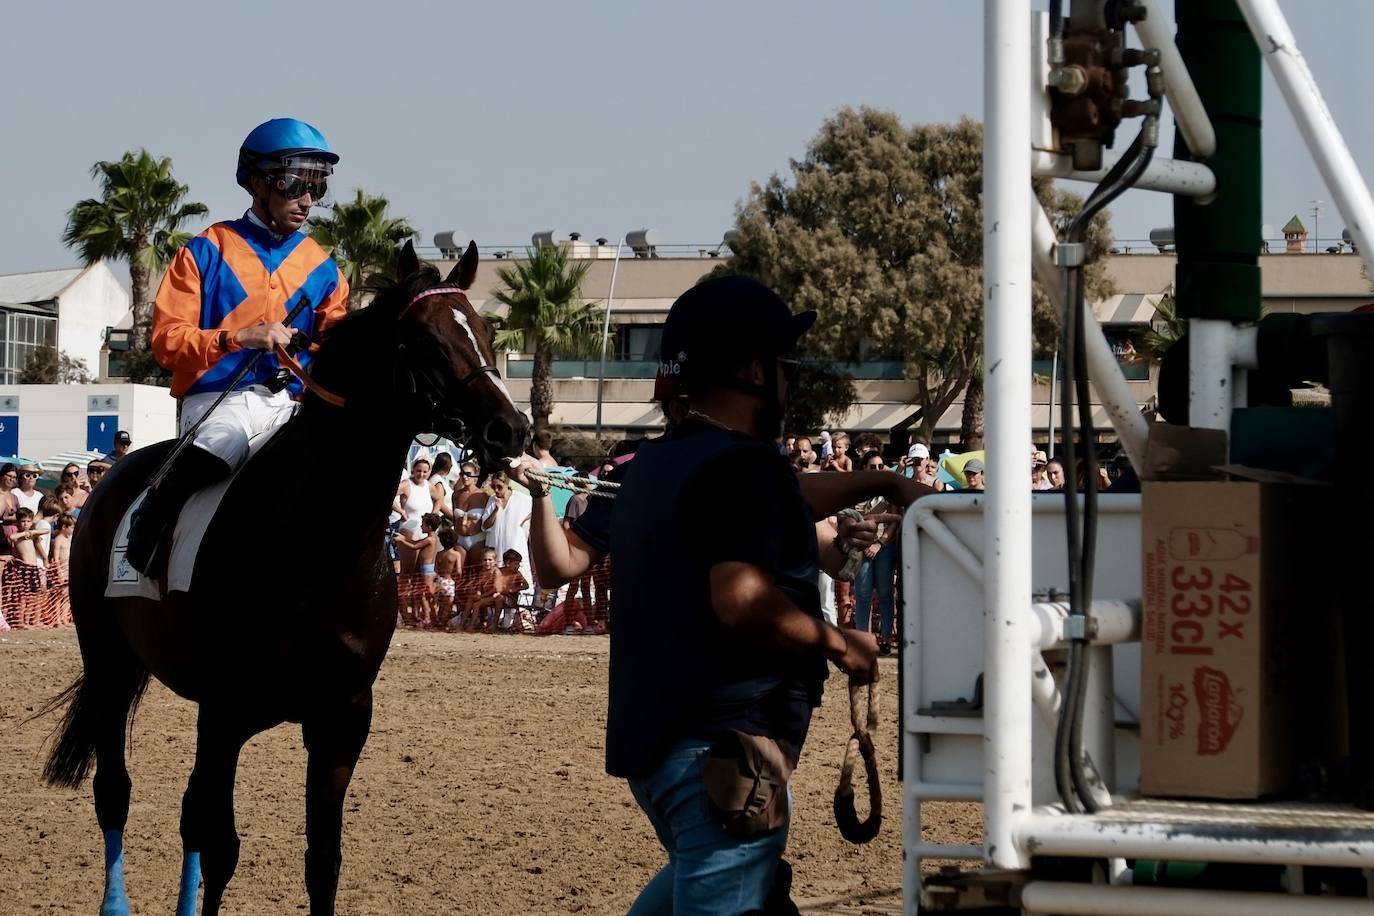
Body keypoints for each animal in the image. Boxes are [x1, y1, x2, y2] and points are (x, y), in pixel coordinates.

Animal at [41, 241, 524, 916]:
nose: (512, 429)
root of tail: (112, 479)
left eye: (484, 331)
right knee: (117, 790)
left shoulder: (341, 720)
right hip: (109, 664)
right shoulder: (224, 713)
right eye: (428, 341)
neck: (316, 553)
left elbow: (322, 860)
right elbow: (221, 845)